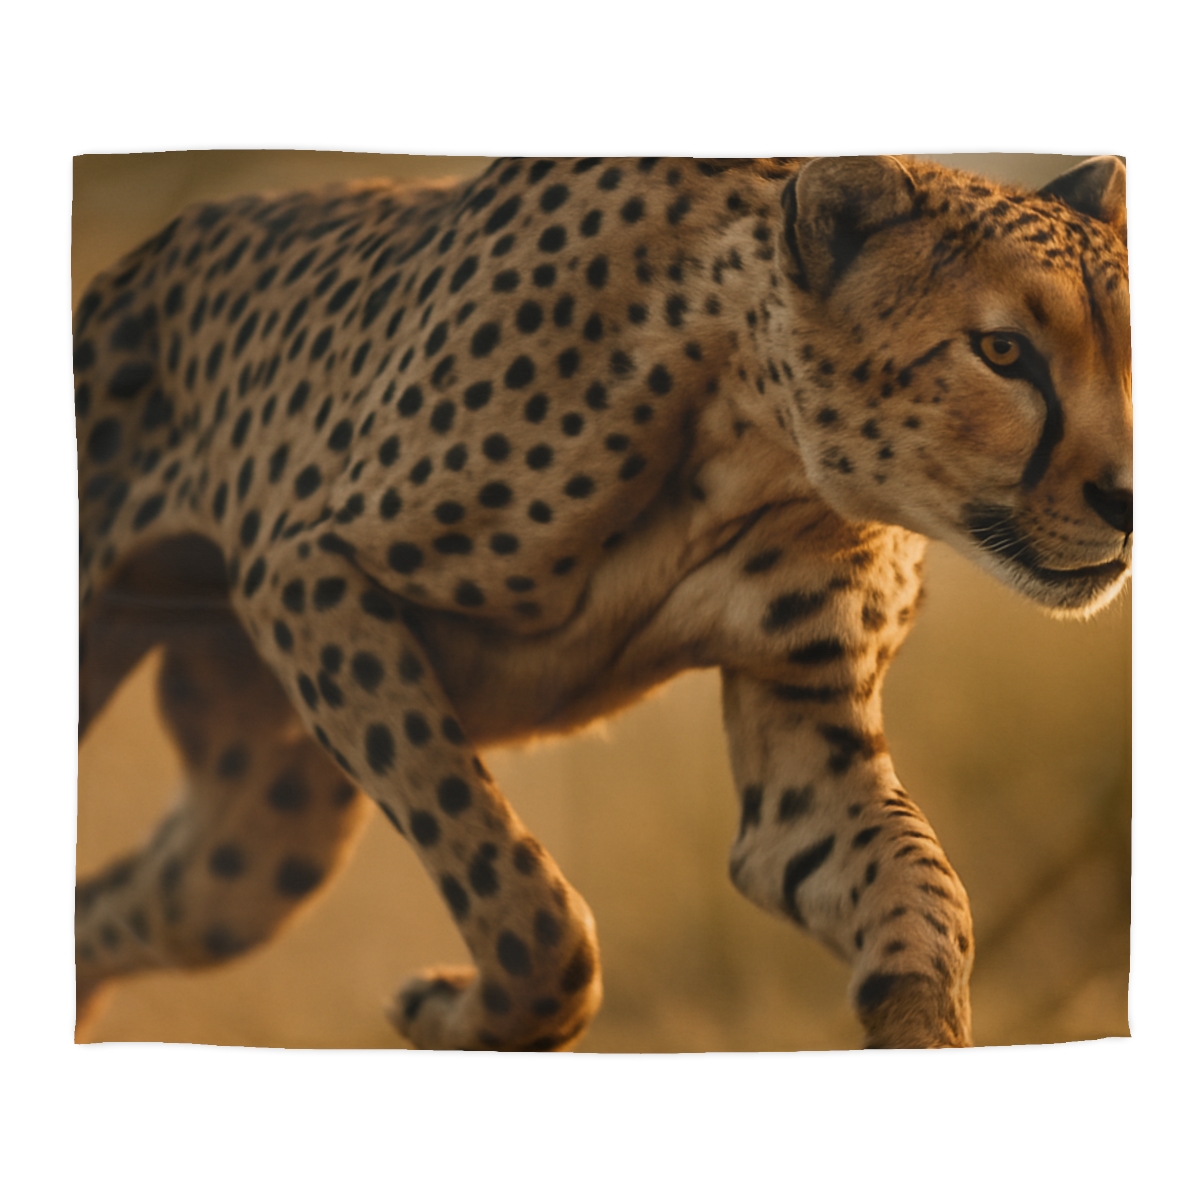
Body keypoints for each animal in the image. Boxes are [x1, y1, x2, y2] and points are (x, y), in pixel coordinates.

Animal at [74, 154, 1131, 1051]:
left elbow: (923, 902)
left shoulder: (804, 729)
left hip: (264, 837)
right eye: (1003, 351)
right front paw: (460, 1014)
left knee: (112, 908)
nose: (1129, 498)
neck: (752, 428)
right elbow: (528, 904)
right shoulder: (304, 570)